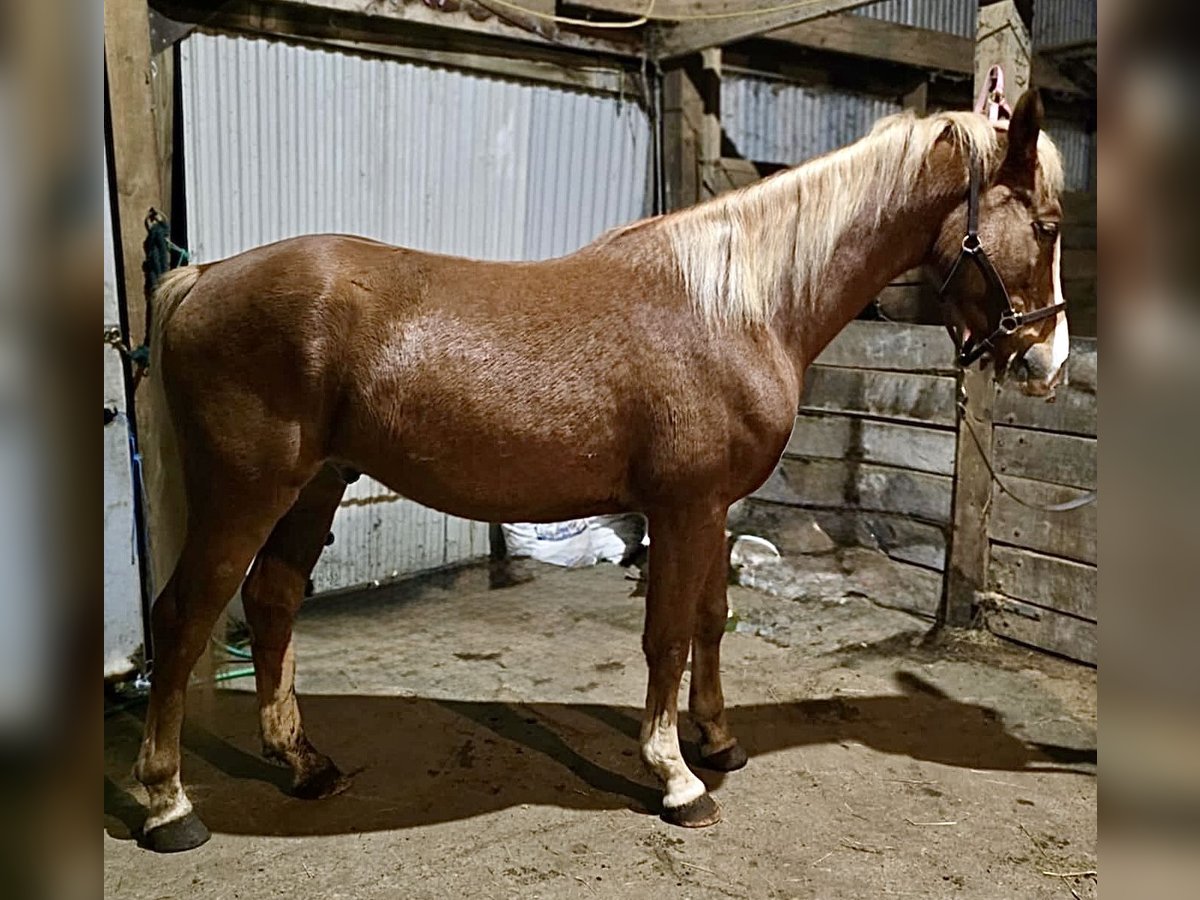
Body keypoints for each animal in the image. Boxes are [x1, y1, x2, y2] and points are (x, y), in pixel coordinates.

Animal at [133, 91, 1070, 854]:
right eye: (1052, 225)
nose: (1050, 362)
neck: (736, 306)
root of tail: (199, 278)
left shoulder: (713, 506)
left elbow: (711, 622)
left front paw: (717, 740)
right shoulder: (683, 507)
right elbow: (666, 635)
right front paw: (678, 779)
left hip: (316, 485)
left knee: (271, 601)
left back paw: (302, 763)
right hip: (248, 491)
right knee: (180, 616)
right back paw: (169, 805)